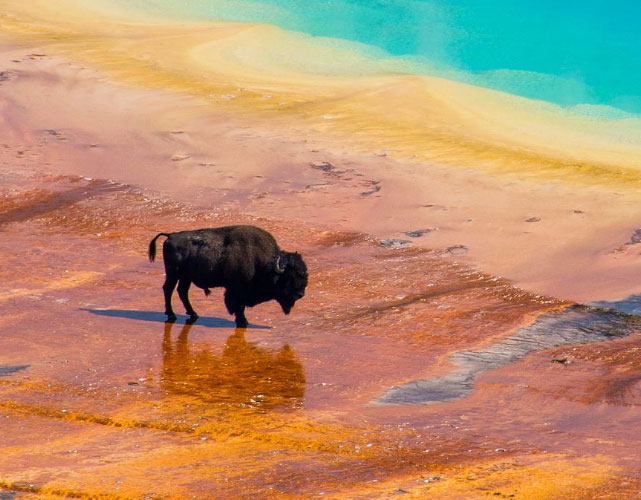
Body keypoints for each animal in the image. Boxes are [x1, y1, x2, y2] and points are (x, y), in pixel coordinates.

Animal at [151, 224, 310, 326]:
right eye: (289, 277)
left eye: (304, 275)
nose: (300, 294)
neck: (263, 263)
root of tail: (170, 236)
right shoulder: (237, 290)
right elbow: (239, 306)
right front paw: (243, 321)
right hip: (173, 274)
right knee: (168, 289)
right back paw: (172, 315)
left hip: (186, 277)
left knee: (182, 291)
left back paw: (193, 314)